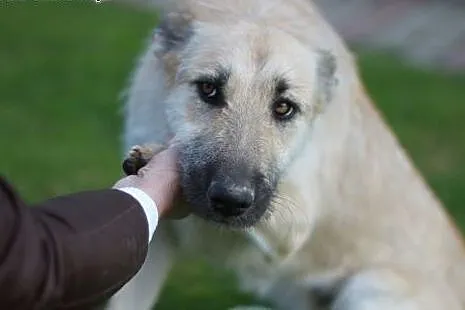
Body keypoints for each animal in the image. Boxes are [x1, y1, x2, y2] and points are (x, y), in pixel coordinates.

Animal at [105, 1, 464, 308]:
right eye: (208, 89)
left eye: (284, 108)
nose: (231, 201)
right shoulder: (151, 236)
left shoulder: (294, 221)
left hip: (369, 286)